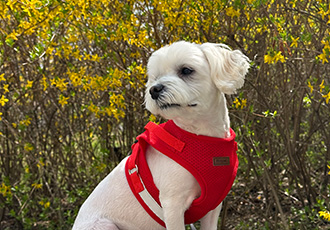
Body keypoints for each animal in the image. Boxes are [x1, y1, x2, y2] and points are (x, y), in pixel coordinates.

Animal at [71, 40, 248, 229]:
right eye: (155, 77)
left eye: (186, 70)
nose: (154, 89)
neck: (201, 136)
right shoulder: (172, 205)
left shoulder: (213, 208)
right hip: (104, 224)